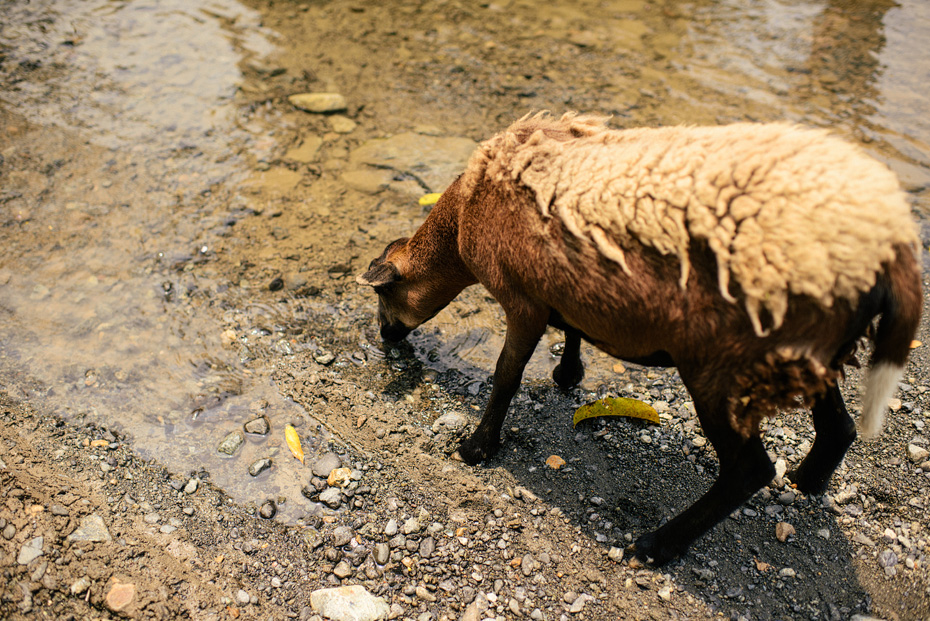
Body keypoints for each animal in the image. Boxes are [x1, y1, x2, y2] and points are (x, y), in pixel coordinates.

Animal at [356, 111, 920, 560]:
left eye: (383, 298)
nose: (385, 338)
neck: (460, 220)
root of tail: (888, 251)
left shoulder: (522, 301)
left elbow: (505, 376)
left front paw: (477, 447)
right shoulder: (564, 289)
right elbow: (572, 332)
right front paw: (568, 374)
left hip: (723, 365)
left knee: (749, 470)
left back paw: (657, 546)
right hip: (810, 353)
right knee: (838, 428)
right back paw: (808, 482)